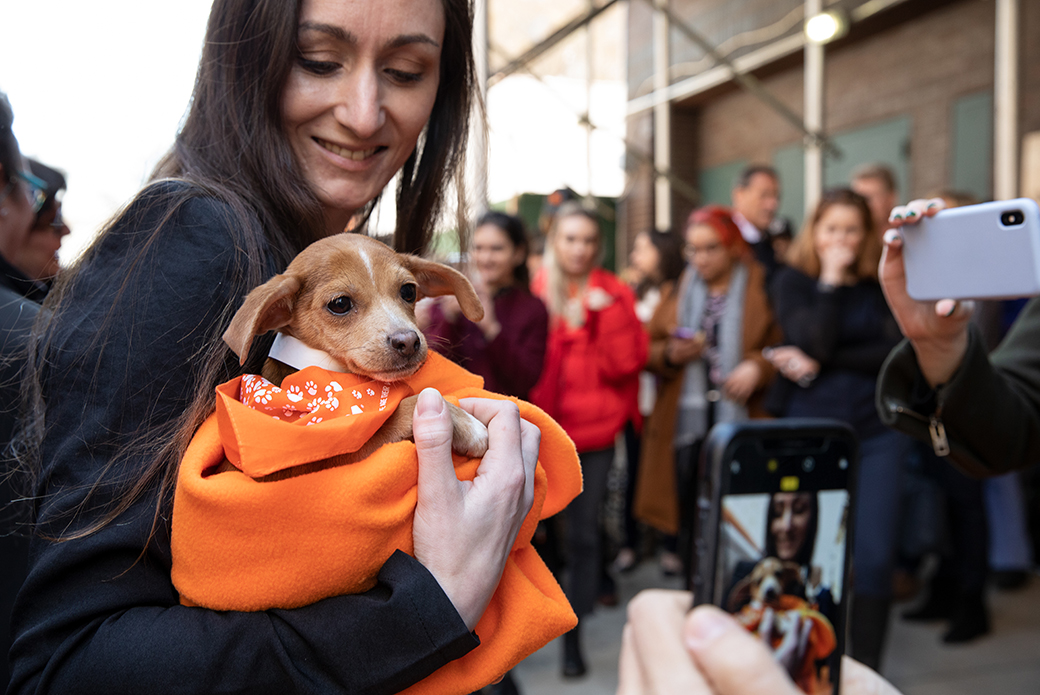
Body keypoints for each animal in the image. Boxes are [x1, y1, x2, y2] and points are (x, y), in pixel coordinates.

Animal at [221, 233, 488, 478]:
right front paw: (471, 427)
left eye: (409, 291)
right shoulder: (332, 455)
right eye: (339, 303)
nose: (408, 341)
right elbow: (403, 408)